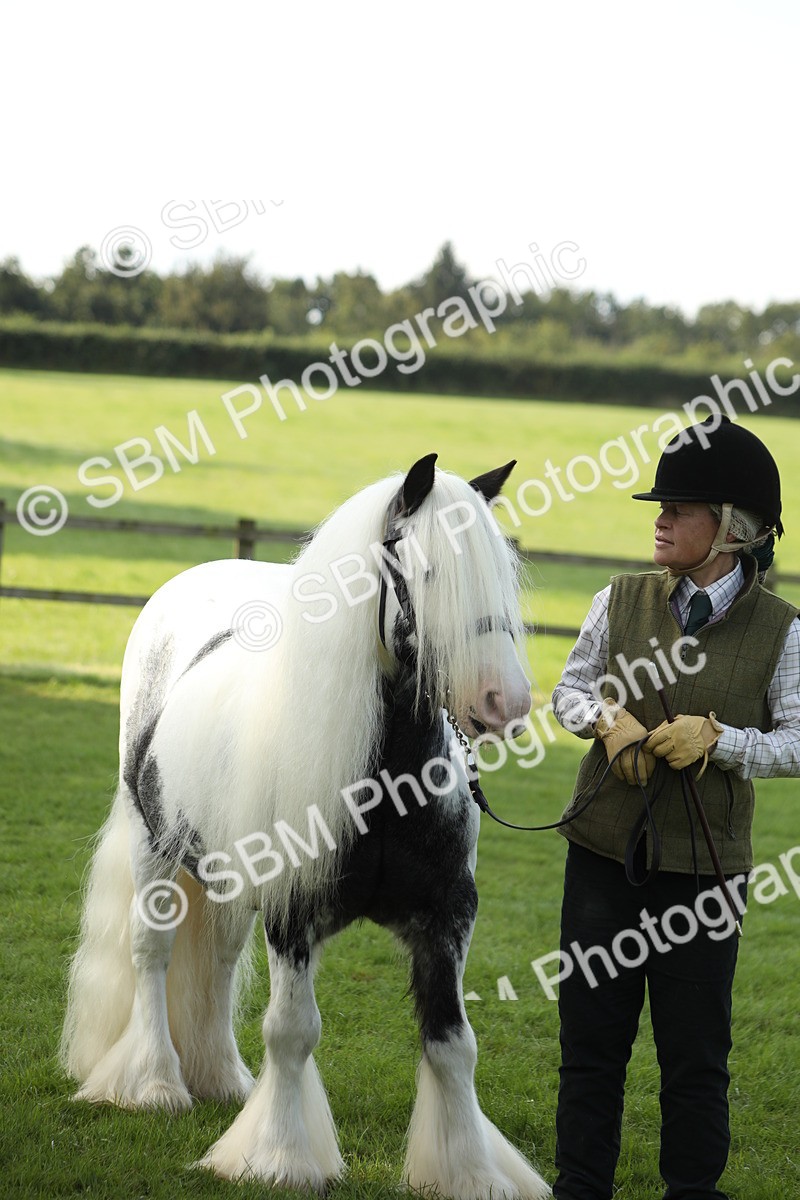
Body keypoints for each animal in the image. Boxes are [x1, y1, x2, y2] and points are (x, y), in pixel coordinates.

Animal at [60, 452, 551, 1200]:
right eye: (425, 572)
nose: (505, 702)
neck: (387, 778)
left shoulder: (447, 916)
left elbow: (452, 1043)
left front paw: (471, 1171)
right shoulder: (294, 913)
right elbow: (292, 1031)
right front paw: (280, 1158)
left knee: (218, 962)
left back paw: (220, 1080)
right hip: (154, 850)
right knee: (152, 956)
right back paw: (155, 1085)